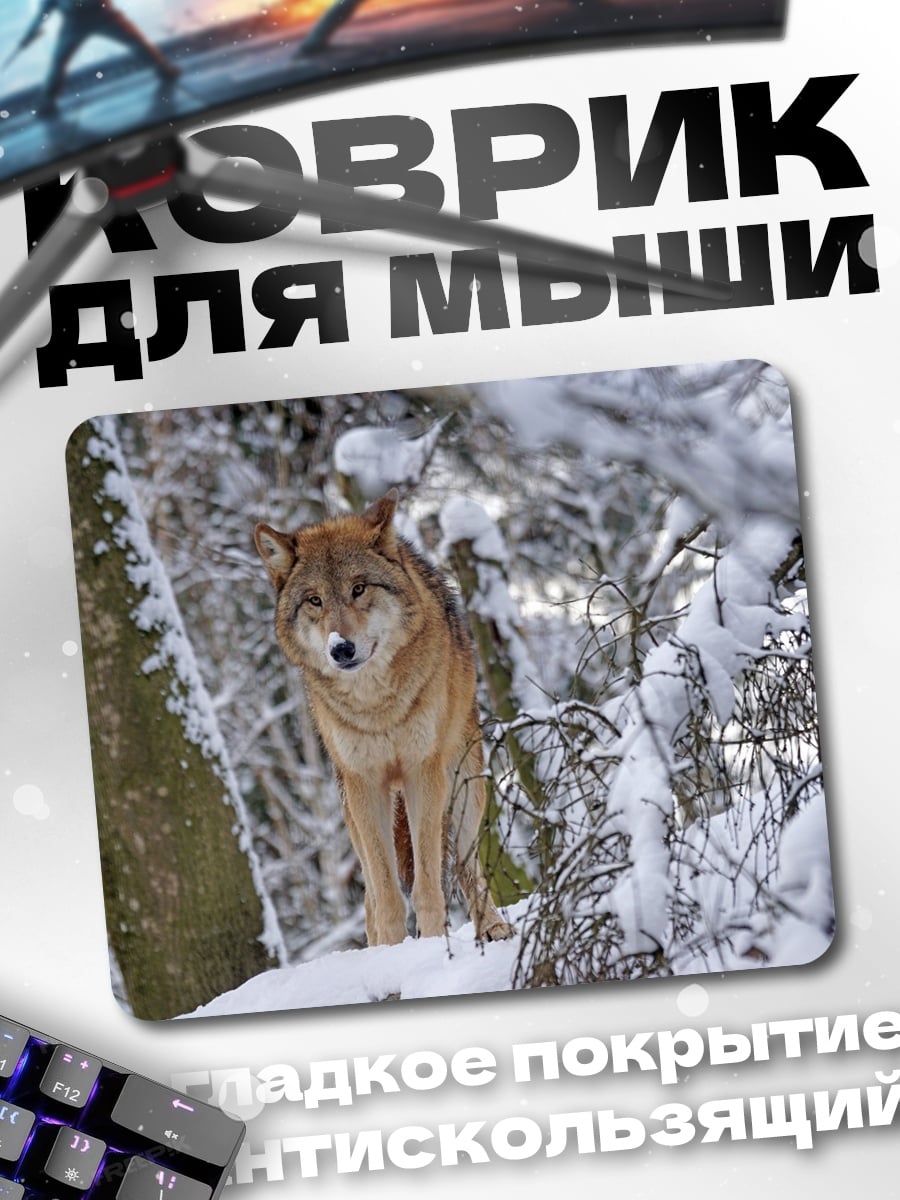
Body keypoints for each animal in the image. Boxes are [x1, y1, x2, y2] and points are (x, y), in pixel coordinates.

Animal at [254, 489, 514, 947]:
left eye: (358, 589)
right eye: (315, 600)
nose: (341, 648)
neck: (377, 706)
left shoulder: (421, 771)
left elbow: (428, 883)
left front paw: (431, 944)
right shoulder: (365, 784)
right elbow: (387, 893)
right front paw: (392, 952)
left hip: (464, 787)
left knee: (465, 865)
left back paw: (493, 927)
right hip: (353, 812)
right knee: (371, 896)